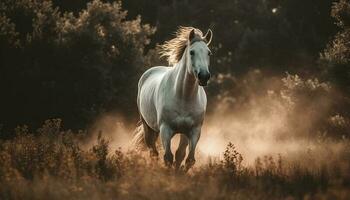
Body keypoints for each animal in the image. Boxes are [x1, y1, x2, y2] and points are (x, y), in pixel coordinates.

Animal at [133, 26, 212, 170]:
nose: (204, 76)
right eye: (192, 52)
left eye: (209, 53)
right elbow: (168, 158)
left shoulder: (193, 131)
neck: (184, 96)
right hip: (148, 126)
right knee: (153, 152)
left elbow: (186, 158)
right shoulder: (166, 129)